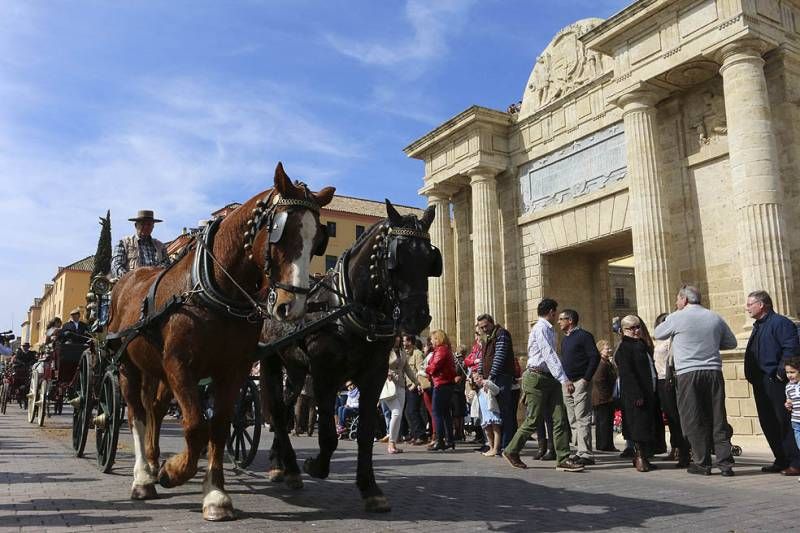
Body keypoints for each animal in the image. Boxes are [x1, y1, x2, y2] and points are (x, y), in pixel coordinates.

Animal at [108, 163, 332, 520]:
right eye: (280, 231)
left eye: (317, 240)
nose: (291, 305)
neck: (214, 290)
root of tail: (127, 279)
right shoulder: (179, 366)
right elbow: (196, 426)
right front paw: (173, 471)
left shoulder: (233, 370)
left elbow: (219, 427)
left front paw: (214, 493)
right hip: (128, 366)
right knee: (136, 414)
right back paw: (143, 476)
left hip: (155, 371)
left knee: (154, 409)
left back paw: (154, 461)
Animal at [260, 200, 440, 512]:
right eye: (395, 259)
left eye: (430, 261)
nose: (418, 317)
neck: (346, 309)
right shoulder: (324, 375)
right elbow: (328, 435)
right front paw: (316, 465)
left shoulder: (374, 375)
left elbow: (366, 432)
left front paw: (370, 488)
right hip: (271, 362)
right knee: (278, 413)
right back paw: (291, 467)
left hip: (295, 371)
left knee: (285, 408)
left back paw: (279, 462)